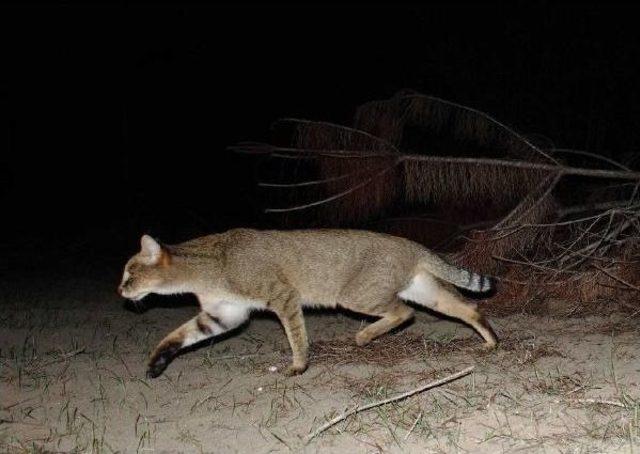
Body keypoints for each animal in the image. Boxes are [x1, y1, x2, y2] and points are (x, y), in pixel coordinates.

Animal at [121, 229, 500, 378]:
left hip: (357, 296)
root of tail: (411, 244)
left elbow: (296, 337)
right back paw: (491, 341)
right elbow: (176, 337)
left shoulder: (283, 297)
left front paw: (299, 365)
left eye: (129, 275)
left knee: (403, 313)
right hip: (424, 291)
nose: (120, 292)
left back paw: (364, 336)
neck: (209, 267)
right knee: (470, 308)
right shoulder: (225, 314)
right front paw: (157, 362)